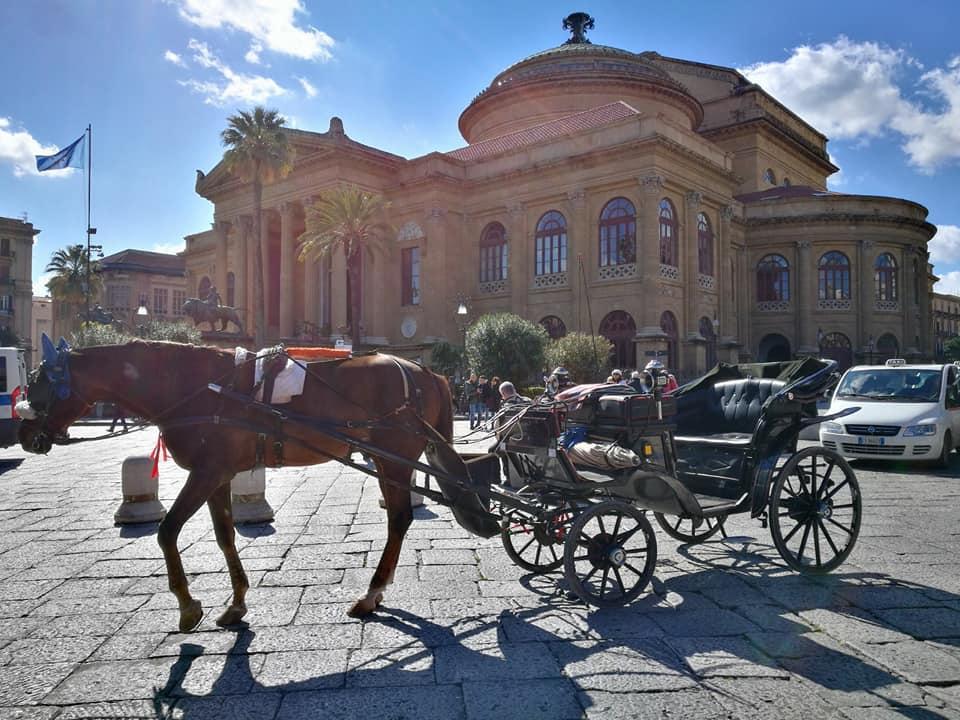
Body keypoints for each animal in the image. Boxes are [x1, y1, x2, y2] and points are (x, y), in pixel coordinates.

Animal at [18, 336, 460, 632]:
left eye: (39, 384)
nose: (25, 436)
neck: (193, 385)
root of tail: (426, 371)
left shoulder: (206, 472)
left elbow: (166, 531)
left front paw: (188, 606)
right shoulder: (218, 474)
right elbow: (224, 534)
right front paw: (236, 603)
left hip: (393, 459)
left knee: (399, 518)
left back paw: (371, 593)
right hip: (388, 461)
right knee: (399, 518)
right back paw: (375, 593)